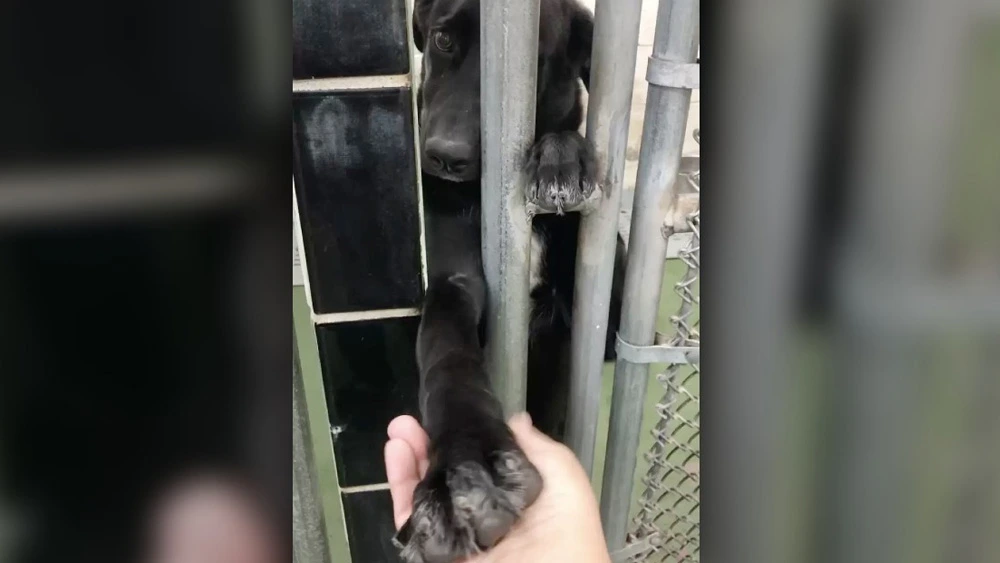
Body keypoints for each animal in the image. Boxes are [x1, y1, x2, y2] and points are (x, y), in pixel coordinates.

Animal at [392, 1, 620, 560]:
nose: (445, 156)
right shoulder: (457, 281)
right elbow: (448, 356)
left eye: (533, 63)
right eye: (444, 40)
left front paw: (561, 155)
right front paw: (463, 465)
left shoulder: (603, 313)